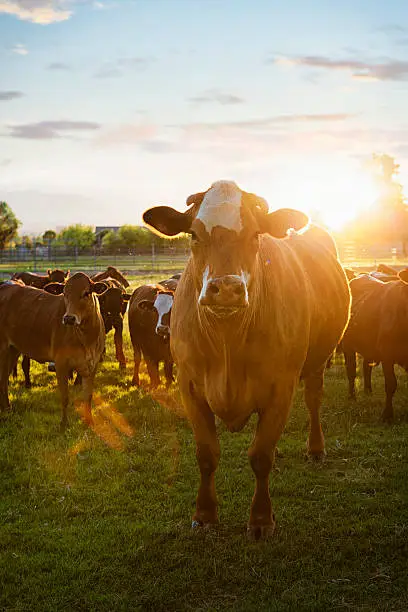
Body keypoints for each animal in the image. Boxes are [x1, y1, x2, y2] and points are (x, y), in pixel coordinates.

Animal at [0, 272, 107, 426]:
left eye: (86, 293)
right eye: (64, 293)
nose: (69, 318)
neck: (86, 339)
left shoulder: (92, 364)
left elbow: (88, 396)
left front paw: (90, 422)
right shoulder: (61, 363)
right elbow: (65, 396)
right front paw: (64, 424)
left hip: (13, 349)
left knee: (3, 381)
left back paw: (7, 409)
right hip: (3, 348)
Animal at [142, 178, 350, 540]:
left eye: (255, 235)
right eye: (193, 234)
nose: (225, 288)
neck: (227, 342)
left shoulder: (281, 387)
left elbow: (261, 455)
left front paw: (261, 519)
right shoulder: (190, 386)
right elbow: (207, 454)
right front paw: (205, 514)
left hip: (317, 362)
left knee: (313, 400)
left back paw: (315, 448)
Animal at [342, 270, 408, 424]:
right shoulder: (387, 354)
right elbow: (391, 384)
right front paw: (387, 415)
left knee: (366, 367)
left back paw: (368, 391)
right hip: (348, 345)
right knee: (351, 371)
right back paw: (352, 396)